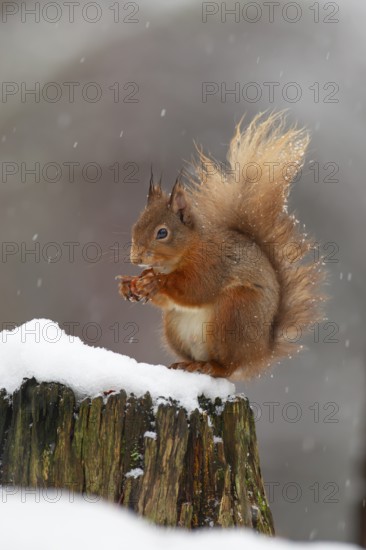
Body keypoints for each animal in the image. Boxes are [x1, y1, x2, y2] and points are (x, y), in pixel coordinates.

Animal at [117, 112, 324, 380]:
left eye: (162, 232)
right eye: (136, 225)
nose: (136, 258)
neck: (183, 254)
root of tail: (259, 352)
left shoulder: (213, 263)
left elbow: (196, 289)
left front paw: (157, 281)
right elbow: (167, 301)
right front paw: (129, 284)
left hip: (235, 314)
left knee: (228, 367)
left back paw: (211, 366)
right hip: (175, 326)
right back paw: (188, 364)